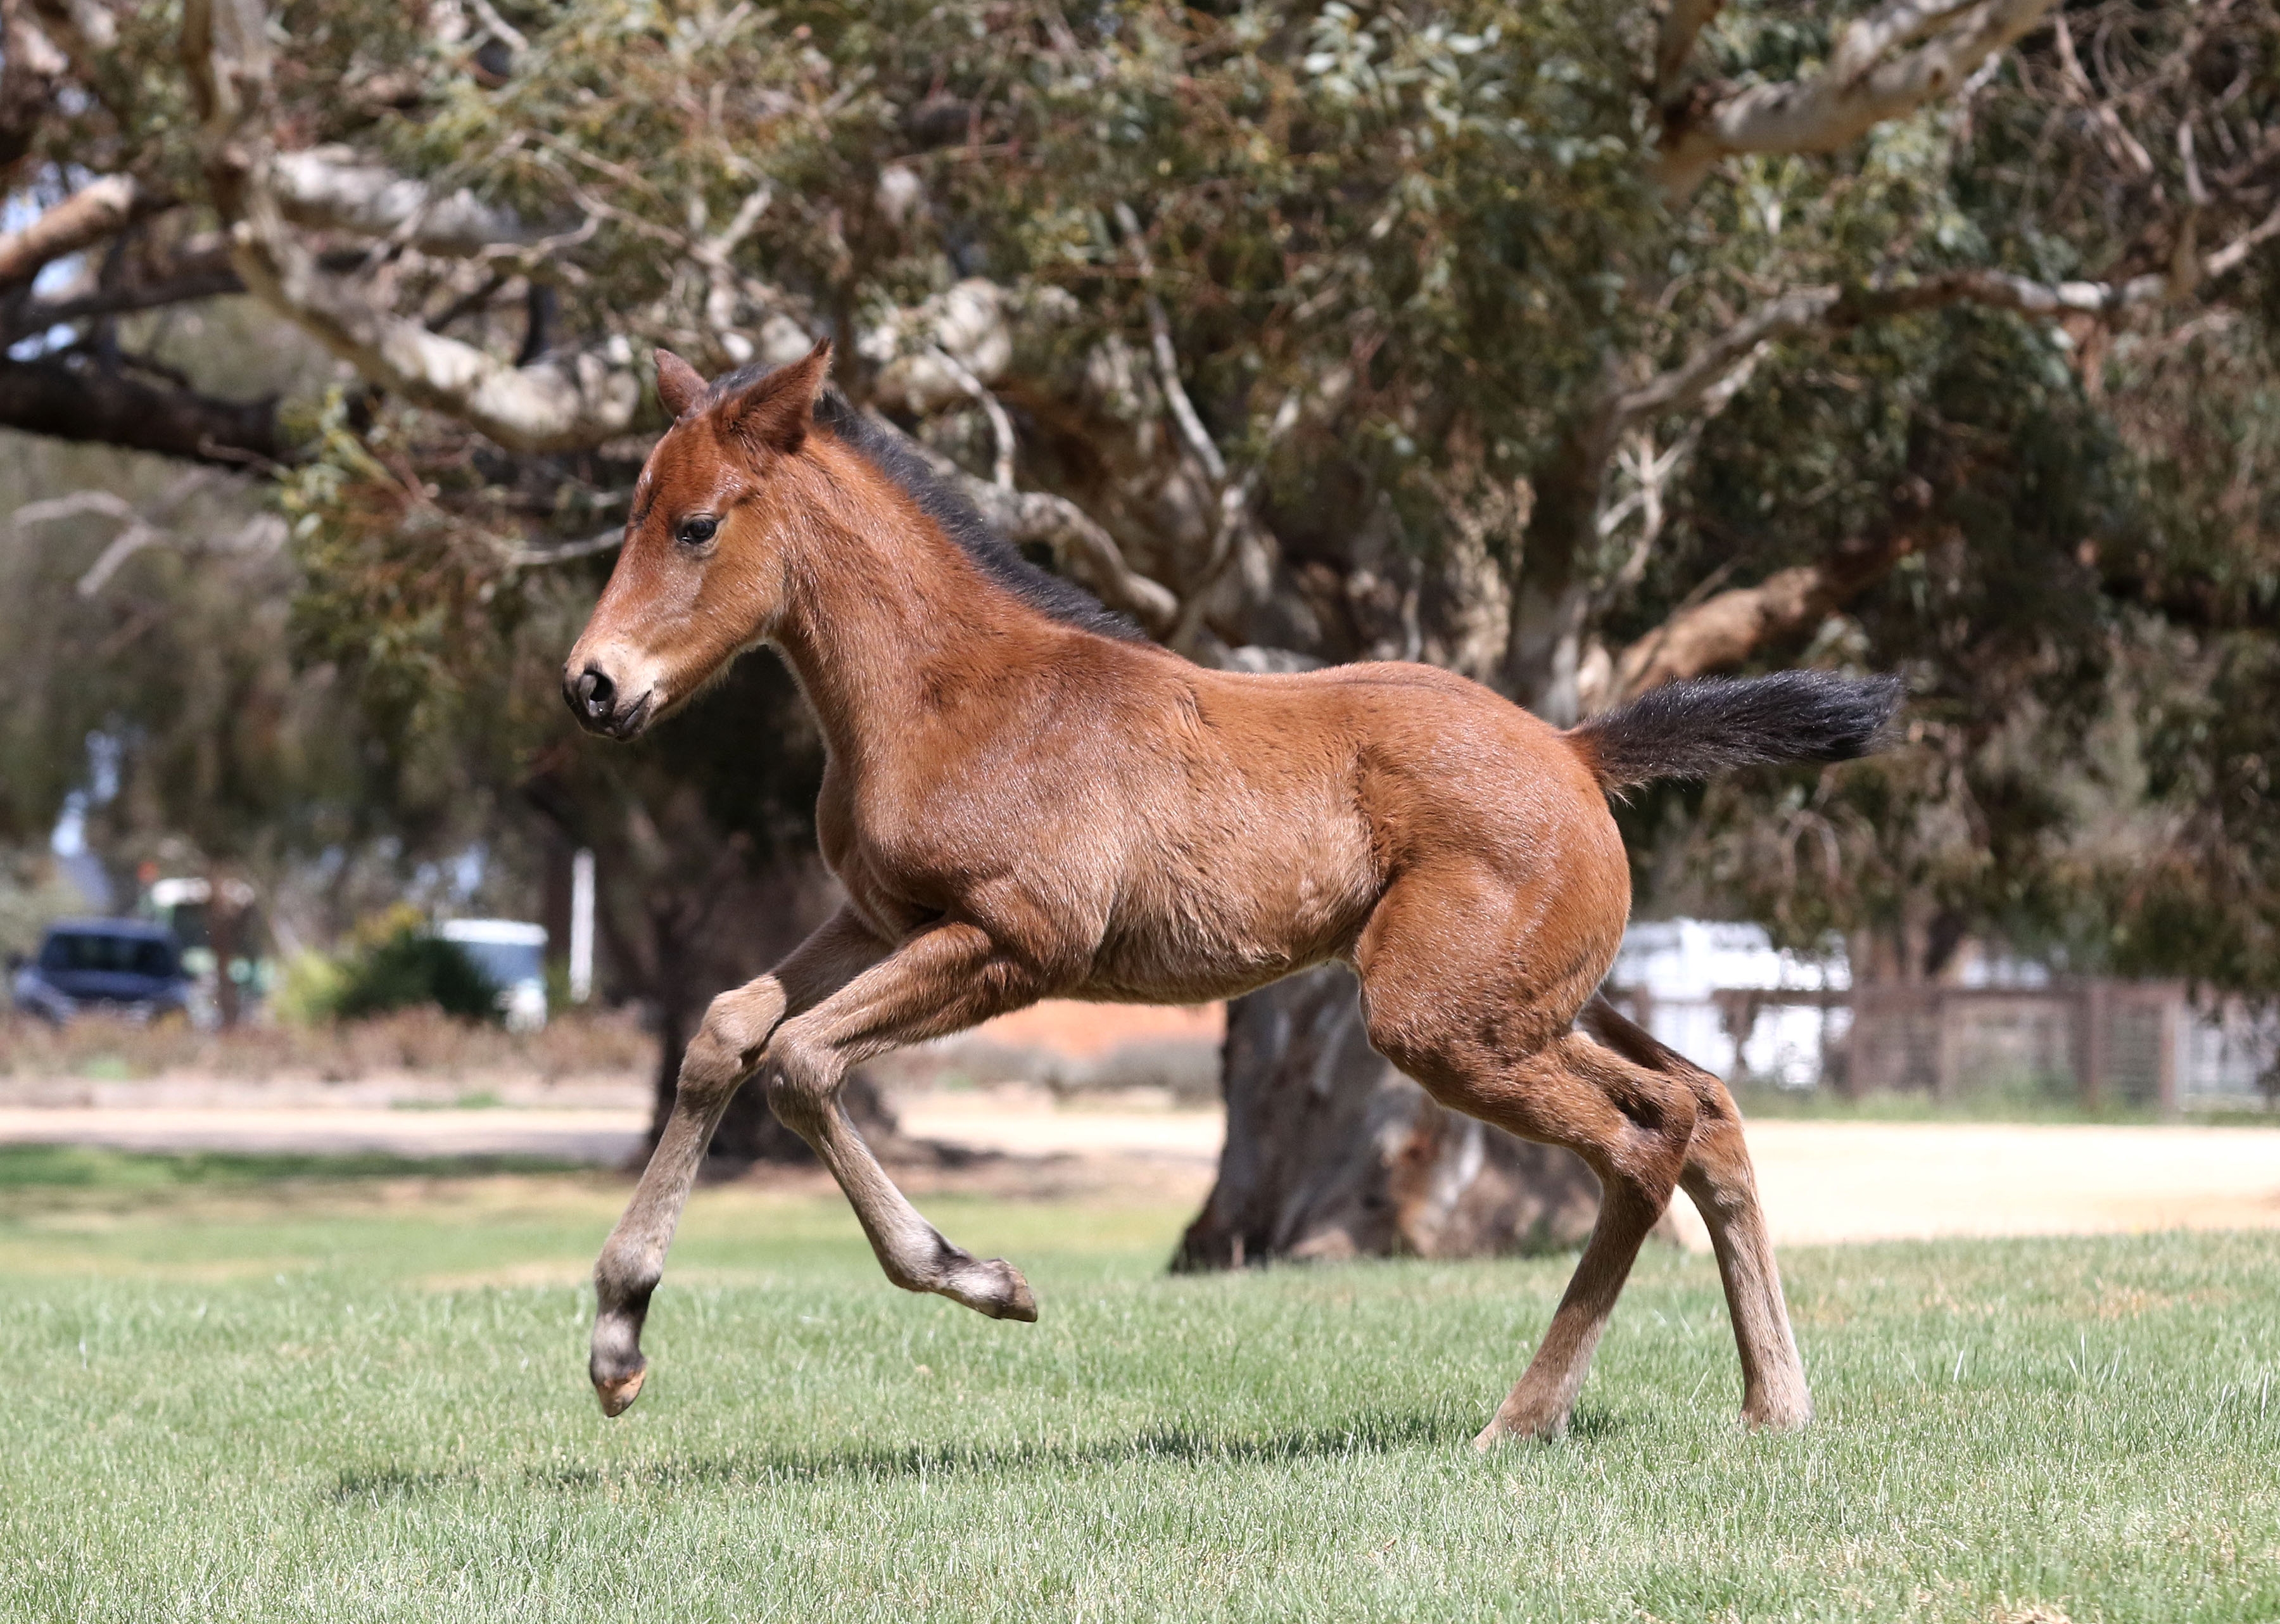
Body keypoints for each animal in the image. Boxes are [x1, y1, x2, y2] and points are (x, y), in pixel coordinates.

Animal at [560, 346, 1897, 1450]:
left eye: (695, 524)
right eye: (630, 514)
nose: (591, 685)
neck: (954, 693)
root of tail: (1577, 750)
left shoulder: (1011, 941)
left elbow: (799, 1064)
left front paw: (985, 1277)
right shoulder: (879, 917)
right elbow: (728, 1028)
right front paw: (618, 1335)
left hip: (1442, 1016)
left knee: (1639, 1141)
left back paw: (1522, 1418)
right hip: (1534, 1000)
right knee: (1703, 1104)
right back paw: (1776, 1402)